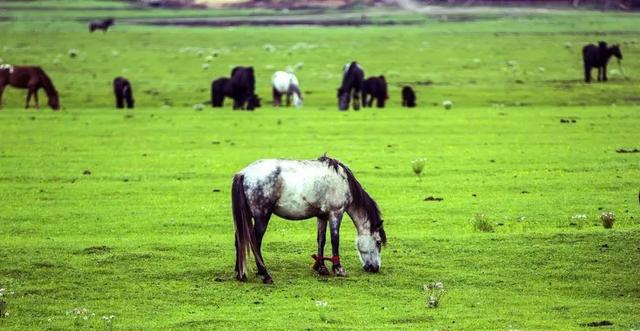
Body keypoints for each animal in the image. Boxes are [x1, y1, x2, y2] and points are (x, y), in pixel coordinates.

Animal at [232, 157, 388, 284]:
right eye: (378, 242)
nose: (375, 268)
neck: (343, 181)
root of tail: (244, 173)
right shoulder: (336, 213)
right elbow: (335, 240)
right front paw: (338, 269)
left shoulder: (322, 216)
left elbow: (321, 240)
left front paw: (321, 267)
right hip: (262, 217)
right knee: (255, 242)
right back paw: (264, 274)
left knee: (239, 239)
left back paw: (240, 273)